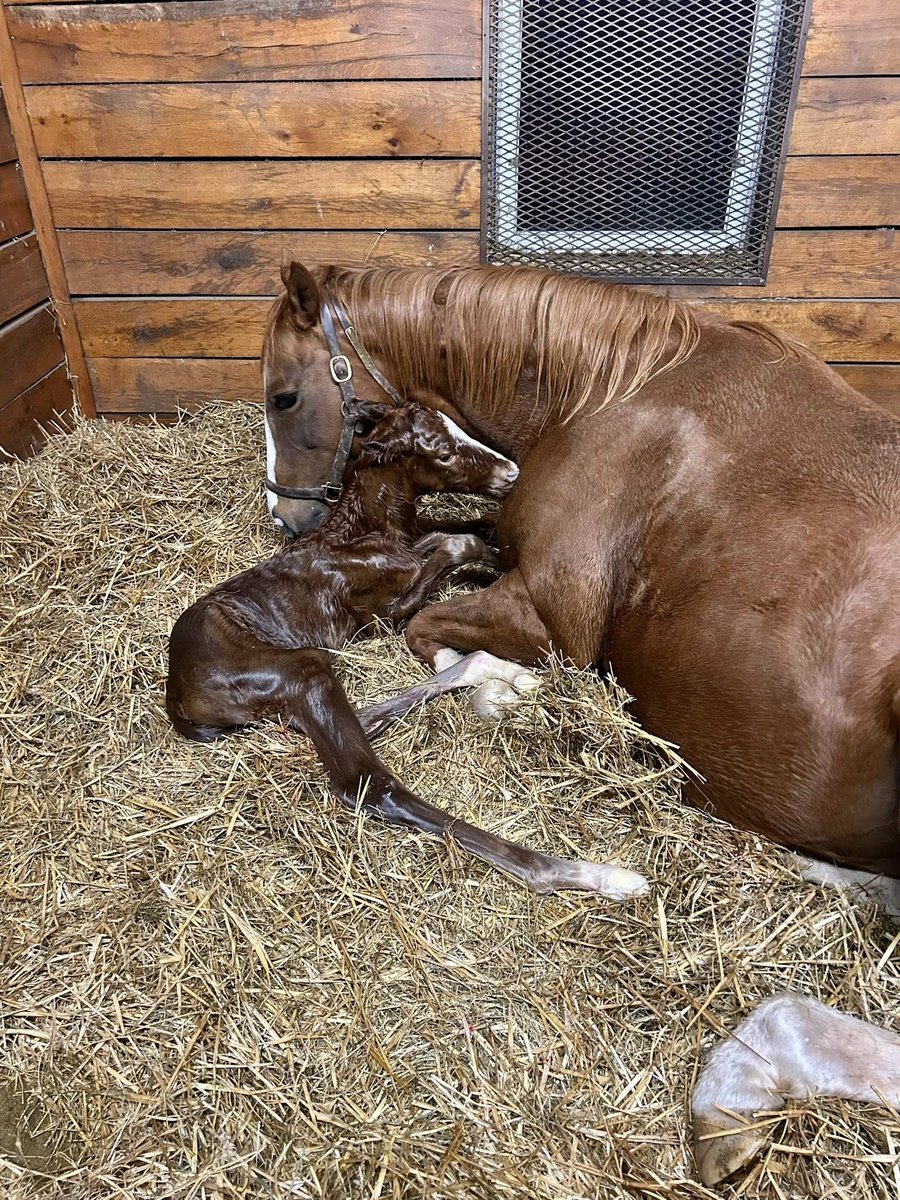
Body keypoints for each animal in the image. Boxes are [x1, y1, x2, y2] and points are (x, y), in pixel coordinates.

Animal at [166, 400, 649, 901]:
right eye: (442, 454)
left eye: (457, 427)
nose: (512, 473)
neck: (371, 532)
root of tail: (175, 693)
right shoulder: (385, 613)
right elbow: (460, 544)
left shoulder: (421, 537)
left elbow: (466, 531)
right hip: (300, 666)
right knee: (366, 781)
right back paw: (599, 874)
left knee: (359, 719)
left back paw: (502, 673)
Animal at [261, 260, 900, 1183]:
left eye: (283, 396)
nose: (285, 518)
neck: (615, 394)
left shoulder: (547, 614)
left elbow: (440, 641)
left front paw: (501, 689)